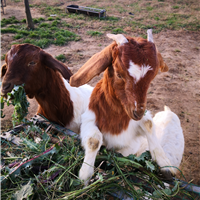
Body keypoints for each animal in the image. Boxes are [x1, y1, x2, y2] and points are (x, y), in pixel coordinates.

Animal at [70, 30, 184, 185]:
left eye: (152, 78)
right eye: (119, 74)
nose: (137, 112)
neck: (117, 122)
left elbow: (148, 124)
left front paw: (165, 164)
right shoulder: (89, 118)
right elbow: (94, 140)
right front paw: (84, 175)